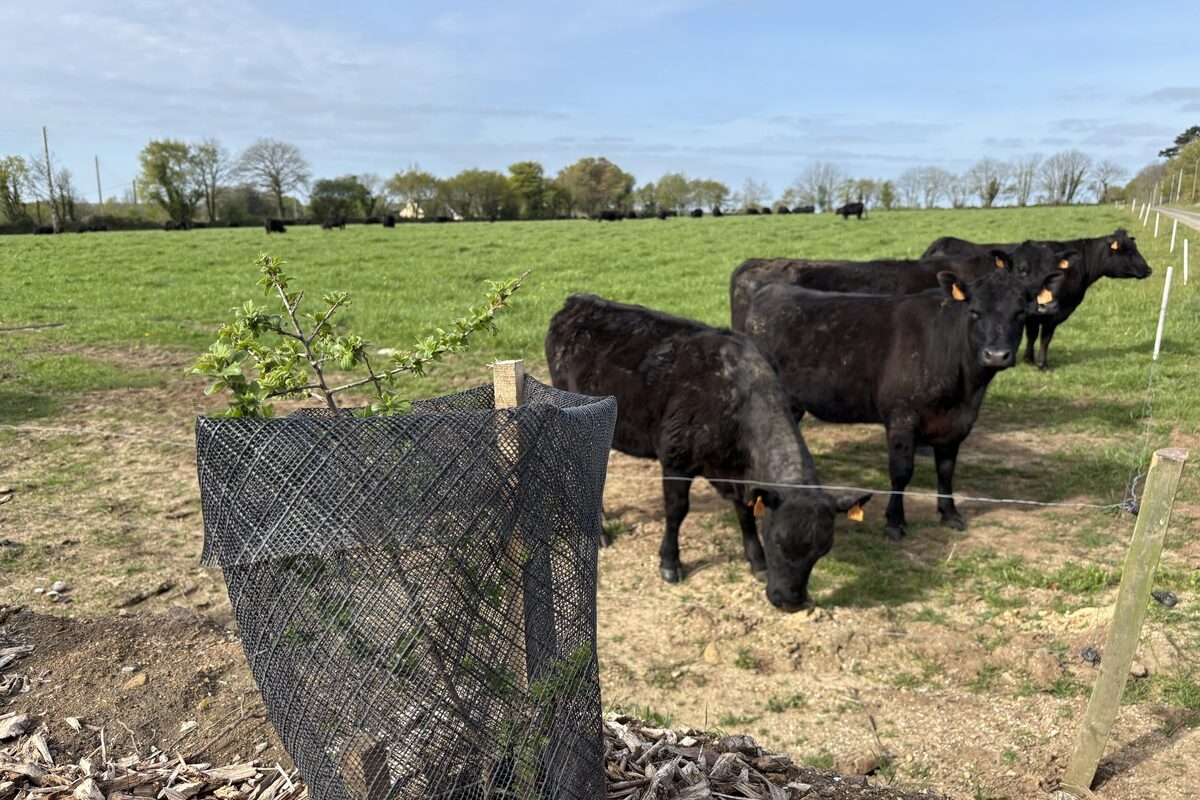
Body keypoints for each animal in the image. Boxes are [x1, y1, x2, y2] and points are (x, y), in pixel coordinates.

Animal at [547, 295, 868, 610]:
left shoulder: (738, 475)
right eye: (778, 541)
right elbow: (677, 511)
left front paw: (756, 561)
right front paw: (670, 563)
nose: (791, 603)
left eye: (822, 551)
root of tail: (576, 302)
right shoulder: (675, 459)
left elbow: (745, 512)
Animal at [734, 268, 1064, 541]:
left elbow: (946, 470)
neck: (965, 391)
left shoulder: (955, 424)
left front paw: (950, 514)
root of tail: (769, 289)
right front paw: (895, 522)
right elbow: (902, 472)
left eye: (1020, 313)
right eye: (974, 312)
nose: (996, 354)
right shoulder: (902, 417)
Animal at [923, 229, 1151, 369]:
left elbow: (1033, 335)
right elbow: (1044, 338)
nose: (1148, 269)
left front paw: (1028, 359)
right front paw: (1041, 364)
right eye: (1127, 250)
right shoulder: (1055, 313)